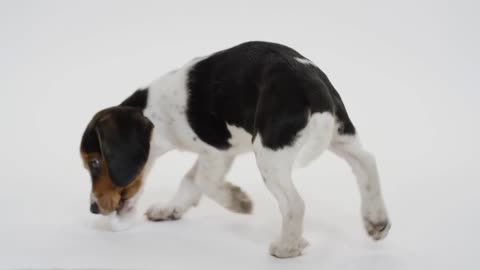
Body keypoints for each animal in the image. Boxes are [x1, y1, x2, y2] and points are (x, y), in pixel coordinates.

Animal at [80, 41, 392, 258]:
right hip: (341, 135)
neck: (155, 112)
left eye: (94, 163)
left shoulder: (216, 150)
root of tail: (311, 84)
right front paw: (171, 209)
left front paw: (238, 202)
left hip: (269, 155)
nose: (93, 209)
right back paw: (376, 220)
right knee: (367, 162)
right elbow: (190, 182)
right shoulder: (215, 154)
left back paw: (287, 246)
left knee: (295, 203)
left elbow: (203, 182)